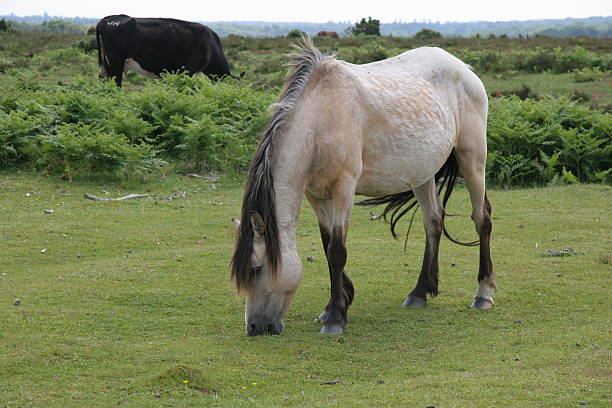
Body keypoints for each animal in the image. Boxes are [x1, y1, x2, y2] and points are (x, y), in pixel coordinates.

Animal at [232, 38, 494, 336]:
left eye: (256, 268)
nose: (255, 327)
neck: (320, 120)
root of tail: (464, 67)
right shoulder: (315, 195)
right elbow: (326, 244)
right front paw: (337, 303)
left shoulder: (344, 189)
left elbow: (336, 251)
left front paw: (335, 317)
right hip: (422, 173)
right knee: (433, 221)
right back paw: (419, 293)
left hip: (472, 158)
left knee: (482, 219)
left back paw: (483, 294)